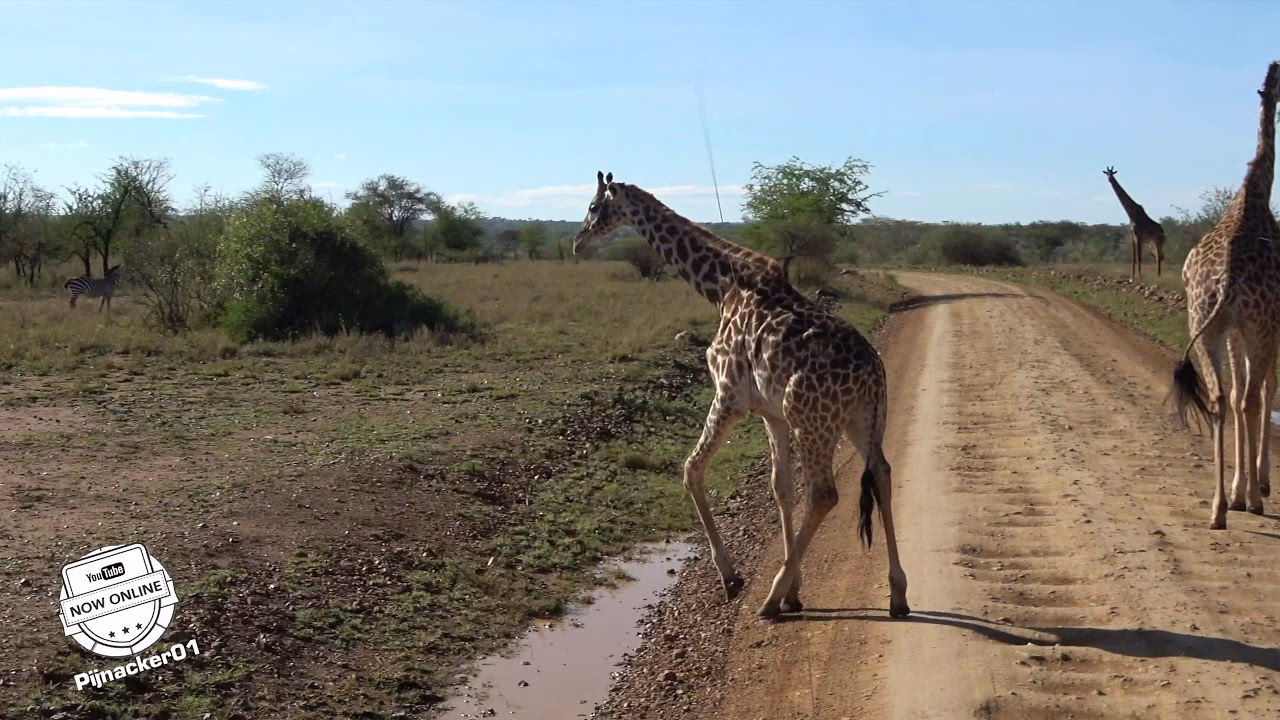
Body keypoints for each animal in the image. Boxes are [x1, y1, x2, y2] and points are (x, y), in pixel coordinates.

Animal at [572, 171, 910, 619]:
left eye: (594, 206)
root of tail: (872, 373)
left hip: (813, 420)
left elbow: (691, 469)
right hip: (862, 418)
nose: (578, 242)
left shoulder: (729, 395)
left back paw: (769, 598)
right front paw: (795, 590)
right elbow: (781, 487)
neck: (721, 286)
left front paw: (734, 577)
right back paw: (897, 594)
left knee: (825, 493)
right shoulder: (772, 413)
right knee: (882, 474)